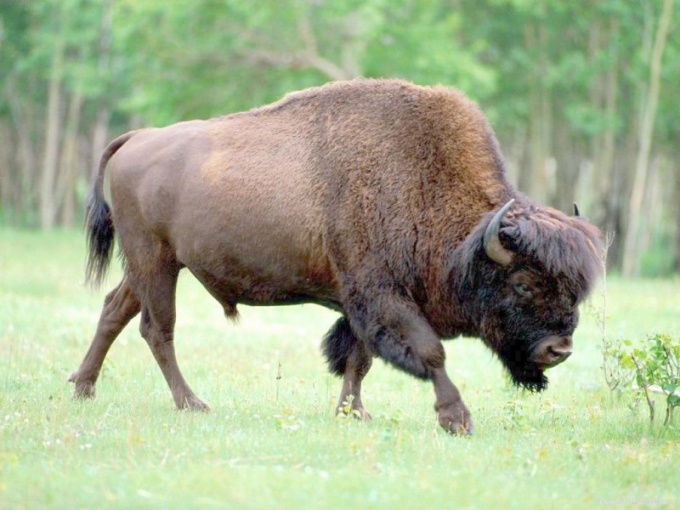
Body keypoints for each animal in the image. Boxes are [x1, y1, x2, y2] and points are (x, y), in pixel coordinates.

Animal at [69, 78, 600, 434]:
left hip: (152, 265)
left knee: (115, 310)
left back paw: (82, 386)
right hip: (155, 260)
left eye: (575, 290)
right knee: (157, 329)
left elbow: (358, 358)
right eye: (523, 284)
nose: (559, 349)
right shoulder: (382, 296)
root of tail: (137, 138)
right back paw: (190, 402)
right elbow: (429, 352)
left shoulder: (360, 302)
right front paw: (456, 419)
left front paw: (353, 411)